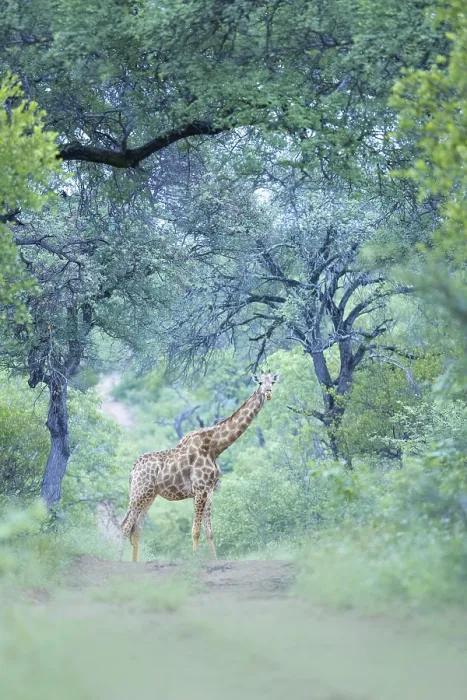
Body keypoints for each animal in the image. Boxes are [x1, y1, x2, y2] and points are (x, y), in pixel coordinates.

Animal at [120, 372, 279, 561]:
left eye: (273, 382)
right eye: (261, 382)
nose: (268, 393)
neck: (215, 447)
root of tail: (132, 470)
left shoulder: (209, 491)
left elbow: (209, 531)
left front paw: (215, 561)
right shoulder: (200, 490)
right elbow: (195, 531)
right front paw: (194, 561)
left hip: (150, 495)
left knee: (136, 528)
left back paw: (134, 562)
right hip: (139, 493)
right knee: (125, 526)